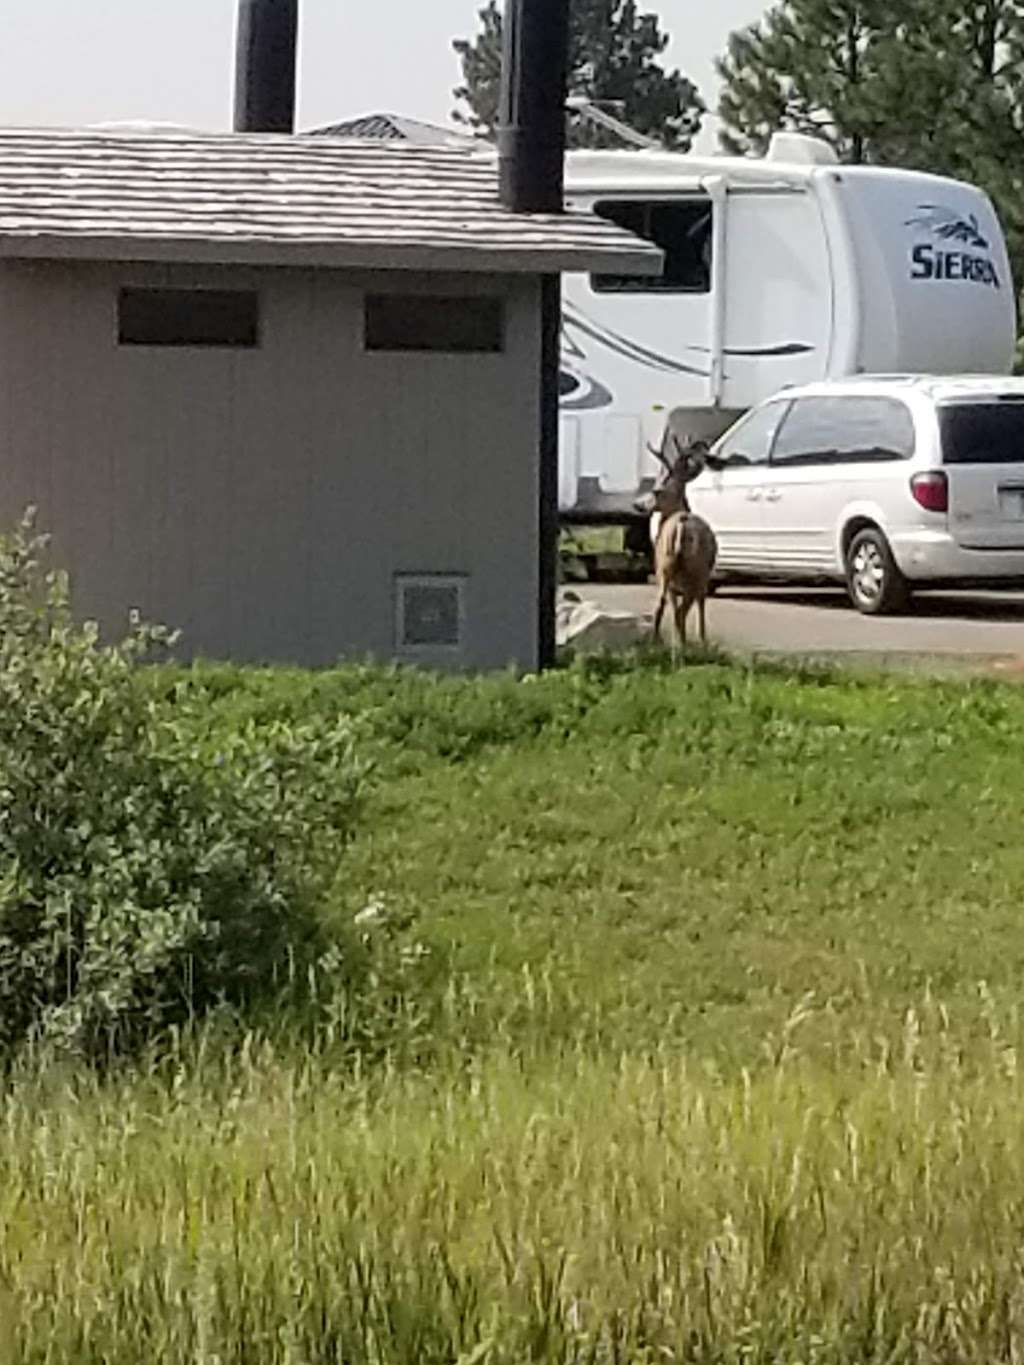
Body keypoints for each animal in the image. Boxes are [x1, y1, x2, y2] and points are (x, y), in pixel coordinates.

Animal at [638, 434, 715, 652]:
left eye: (656, 491)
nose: (639, 505)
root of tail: (682, 524)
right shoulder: (702, 576)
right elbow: (699, 603)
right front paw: (700, 639)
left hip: (665, 567)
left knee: (663, 604)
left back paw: (661, 642)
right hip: (694, 570)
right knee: (685, 606)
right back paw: (684, 643)